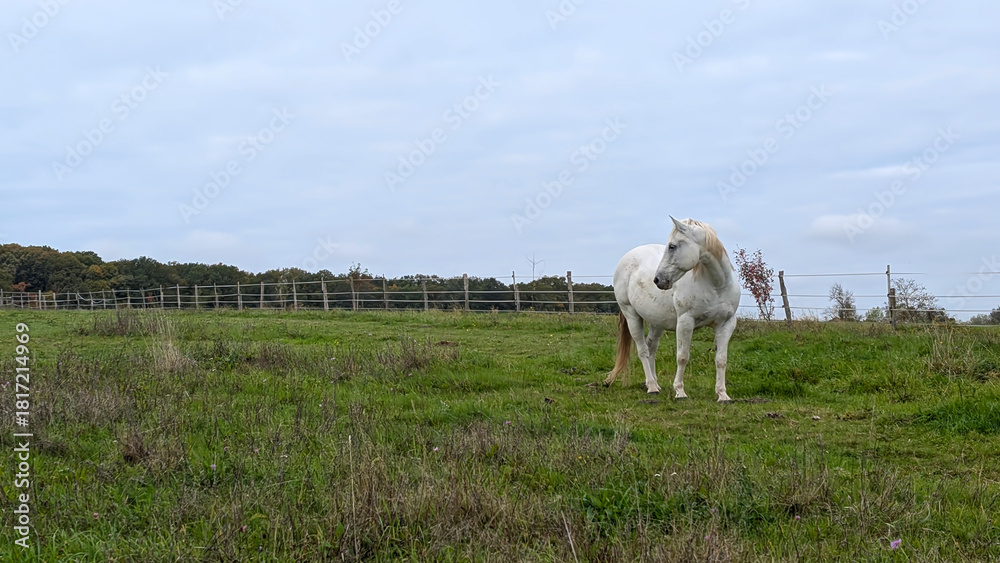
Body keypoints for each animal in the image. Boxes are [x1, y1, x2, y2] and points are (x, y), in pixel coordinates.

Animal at [603, 217, 741, 402]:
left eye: (672, 246)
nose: (658, 280)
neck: (717, 285)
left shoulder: (727, 324)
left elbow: (721, 359)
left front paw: (722, 395)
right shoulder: (685, 322)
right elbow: (682, 357)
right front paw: (680, 392)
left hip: (657, 322)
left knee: (651, 347)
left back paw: (654, 383)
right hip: (631, 315)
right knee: (643, 350)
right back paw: (652, 387)